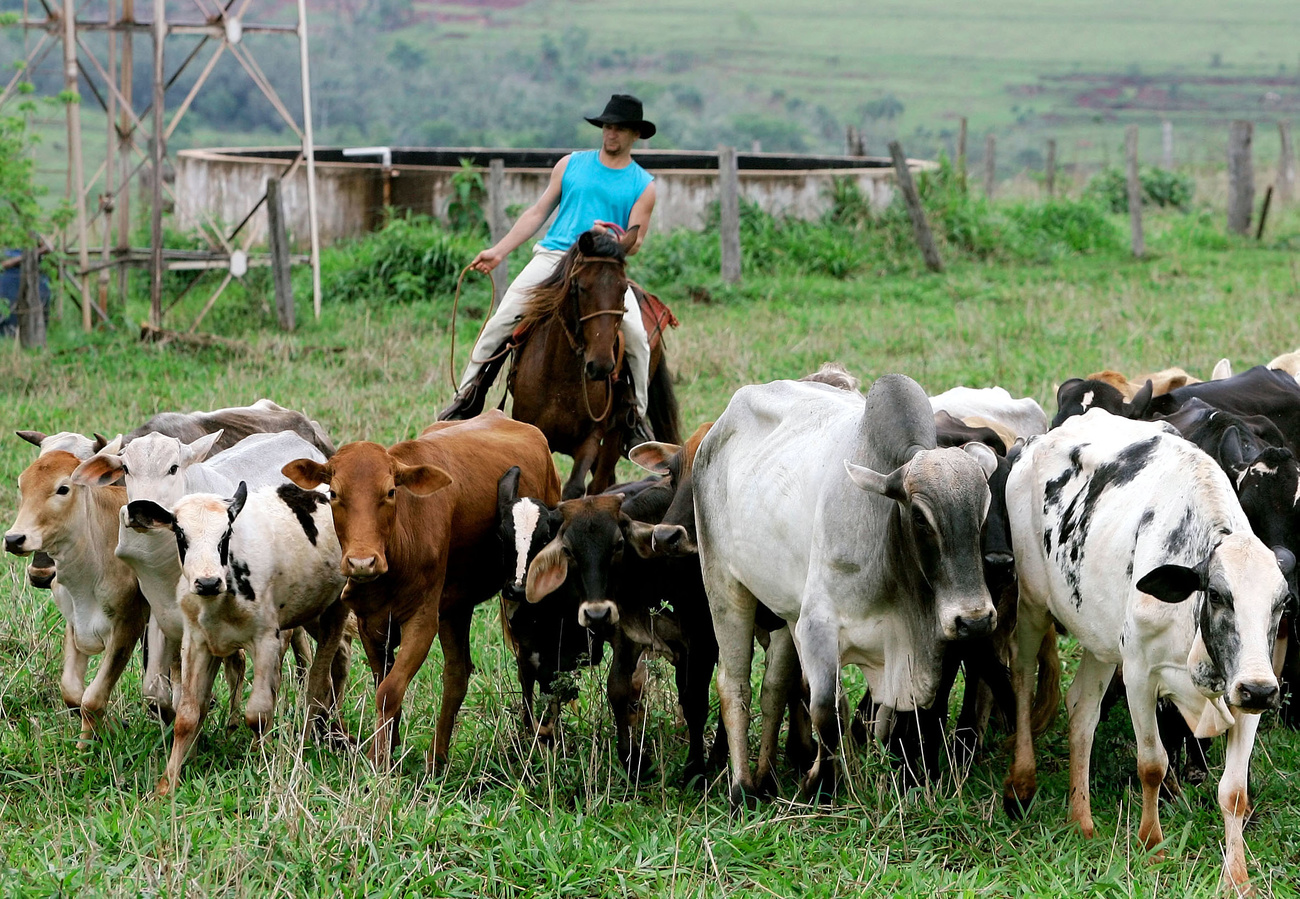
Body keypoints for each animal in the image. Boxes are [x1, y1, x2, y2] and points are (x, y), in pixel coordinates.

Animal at [284, 410, 559, 769]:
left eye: (390, 492)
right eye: (333, 494)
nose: (361, 562)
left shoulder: (422, 621)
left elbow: (389, 690)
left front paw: (378, 757)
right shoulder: (370, 623)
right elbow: (383, 682)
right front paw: (389, 744)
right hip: (456, 606)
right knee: (457, 673)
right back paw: (438, 757)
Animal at [506, 226, 681, 498]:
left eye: (622, 290)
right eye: (580, 287)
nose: (601, 366)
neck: (561, 378)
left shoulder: (590, 438)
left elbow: (575, 488)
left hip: (616, 430)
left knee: (601, 481)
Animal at [702, 368, 993, 805]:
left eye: (982, 512)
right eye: (921, 517)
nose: (974, 621)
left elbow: (883, 719)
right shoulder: (818, 625)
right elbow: (825, 710)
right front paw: (820, 783)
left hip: (787, 610)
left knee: (776, 688)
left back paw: (772, 777)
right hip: (724, 584)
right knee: (735, 685)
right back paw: (743, 788)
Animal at [993, 407, 1289, 893]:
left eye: (1282, 604)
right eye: (1218, 596)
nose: (1260, 689)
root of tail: (1038, 440)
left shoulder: (1245, 697)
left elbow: (1234, 792)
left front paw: (1238, 877)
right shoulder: (1138, 676)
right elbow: (1152, 763)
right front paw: (1152, 843)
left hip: (1099, 639)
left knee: (1082, 709)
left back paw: (1081, 818)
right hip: (1033, 603)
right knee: (1021, 676)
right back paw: (1021, 781)